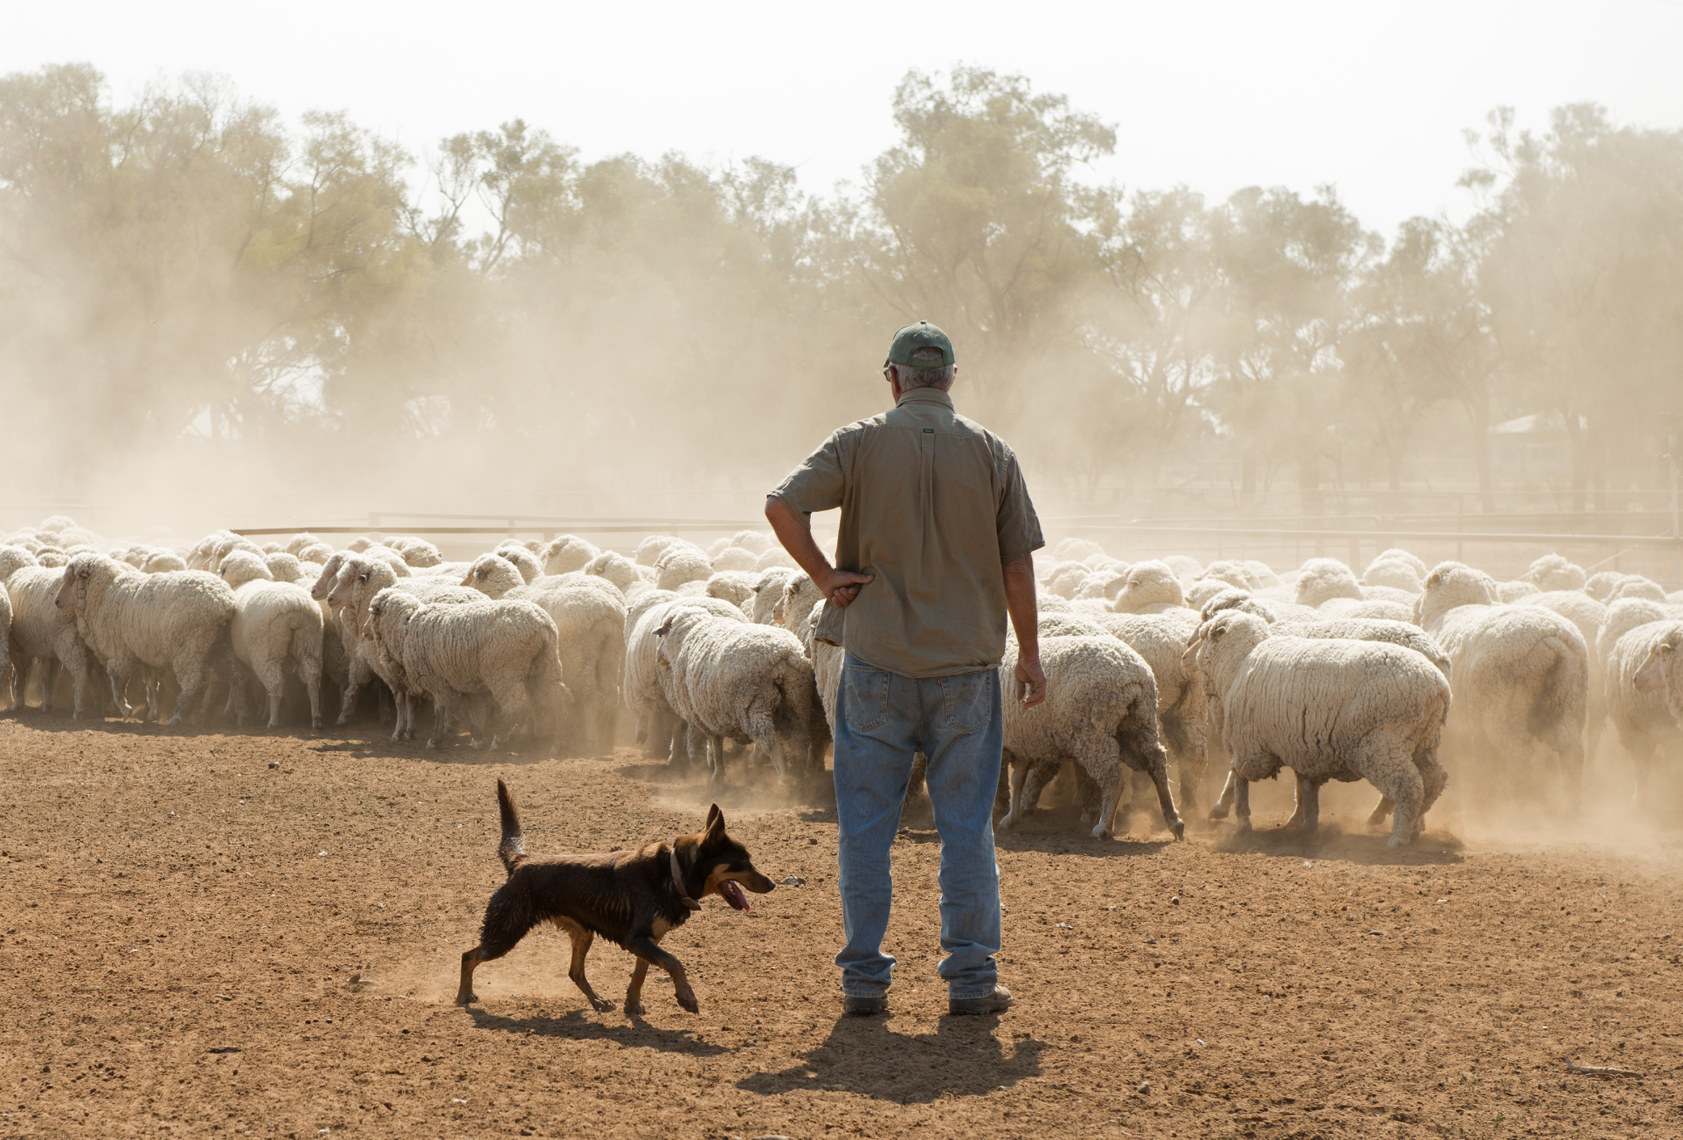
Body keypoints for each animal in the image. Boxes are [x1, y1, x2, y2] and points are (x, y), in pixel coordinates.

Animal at [457, 774, 777, 1017]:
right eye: (743, 862)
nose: (773, 883)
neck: (672, 873)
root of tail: (520, 862)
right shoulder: (637, 939)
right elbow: (674, 962)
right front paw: (686, 997)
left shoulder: (648, 940)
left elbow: (641, 973)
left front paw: (632, 1004)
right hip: (505, 932)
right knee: (468, 956)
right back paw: (463, 996)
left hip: (582, 933)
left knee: (575, 972)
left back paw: (598, 1001)